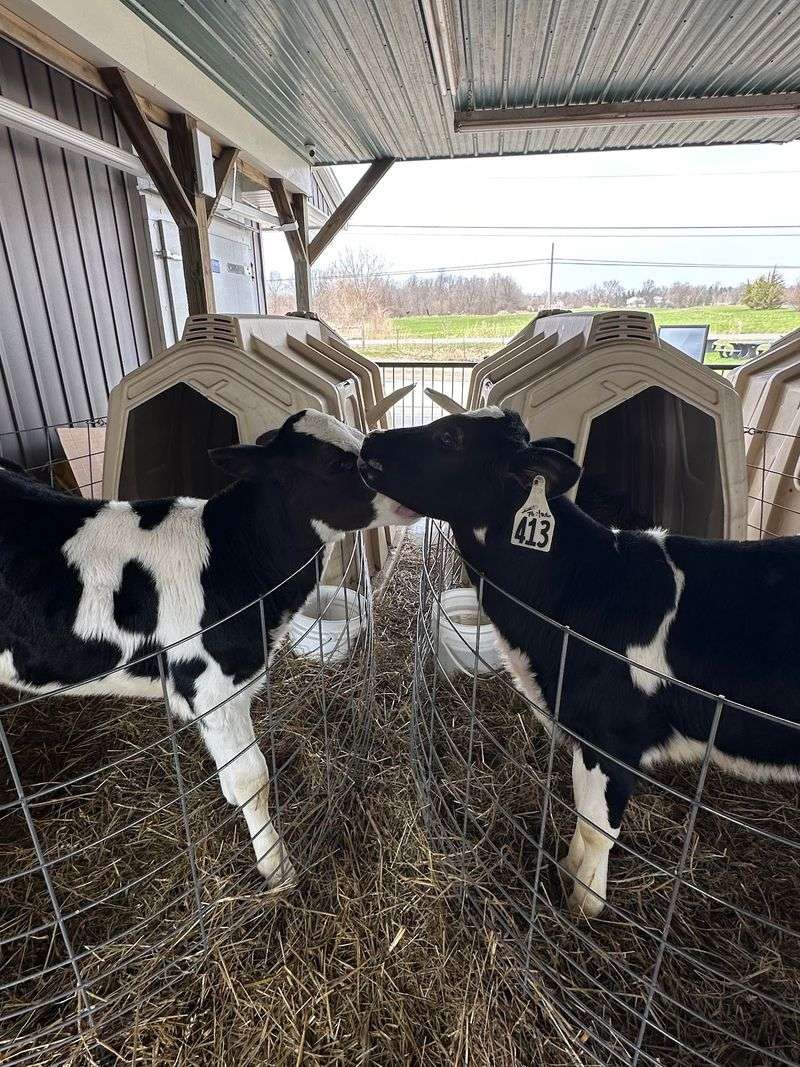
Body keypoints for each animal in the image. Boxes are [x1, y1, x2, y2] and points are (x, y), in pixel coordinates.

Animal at [0, 411, 417, 887]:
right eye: (338, 464)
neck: (232, 560)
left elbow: (230, 767)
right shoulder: (213, 682)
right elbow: (252, 776)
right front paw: (276, 866)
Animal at [358, 405, 800, 918]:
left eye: (450, 436)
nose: (368, 442)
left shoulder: (613, 737)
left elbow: (597, 831)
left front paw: (584, 906)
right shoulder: (580, 727)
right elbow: (578, 810)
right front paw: (567, 870)